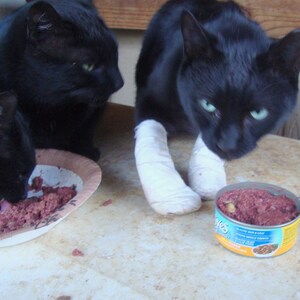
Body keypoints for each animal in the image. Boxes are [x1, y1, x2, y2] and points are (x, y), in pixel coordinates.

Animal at [0, 0, 123, 161]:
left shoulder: (95, 110)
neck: (52, 104)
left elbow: (84, 131)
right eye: (88, 65)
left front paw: (86, 152)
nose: (120, 83)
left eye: (115, 54)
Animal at [134, 0, 300, 216]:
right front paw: (174, 195)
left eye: (258, 113)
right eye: (208, 105)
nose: (227, 144)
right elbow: (152, 138)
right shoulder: (147, 100)